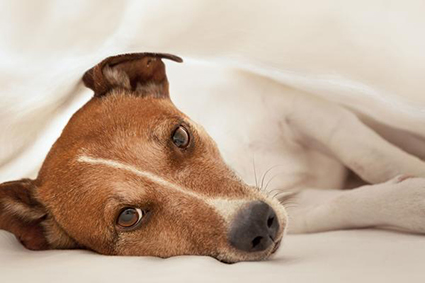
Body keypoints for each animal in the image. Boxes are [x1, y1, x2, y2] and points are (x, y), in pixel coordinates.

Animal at [0, 51, 424, 264]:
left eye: (180, 136)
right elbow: (345, 203)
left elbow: (372, 156)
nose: (259, 224)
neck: (240, 156)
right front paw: (411, 200)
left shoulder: (302, 107)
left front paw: (412, 174)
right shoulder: (295, 203)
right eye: (128, 217)